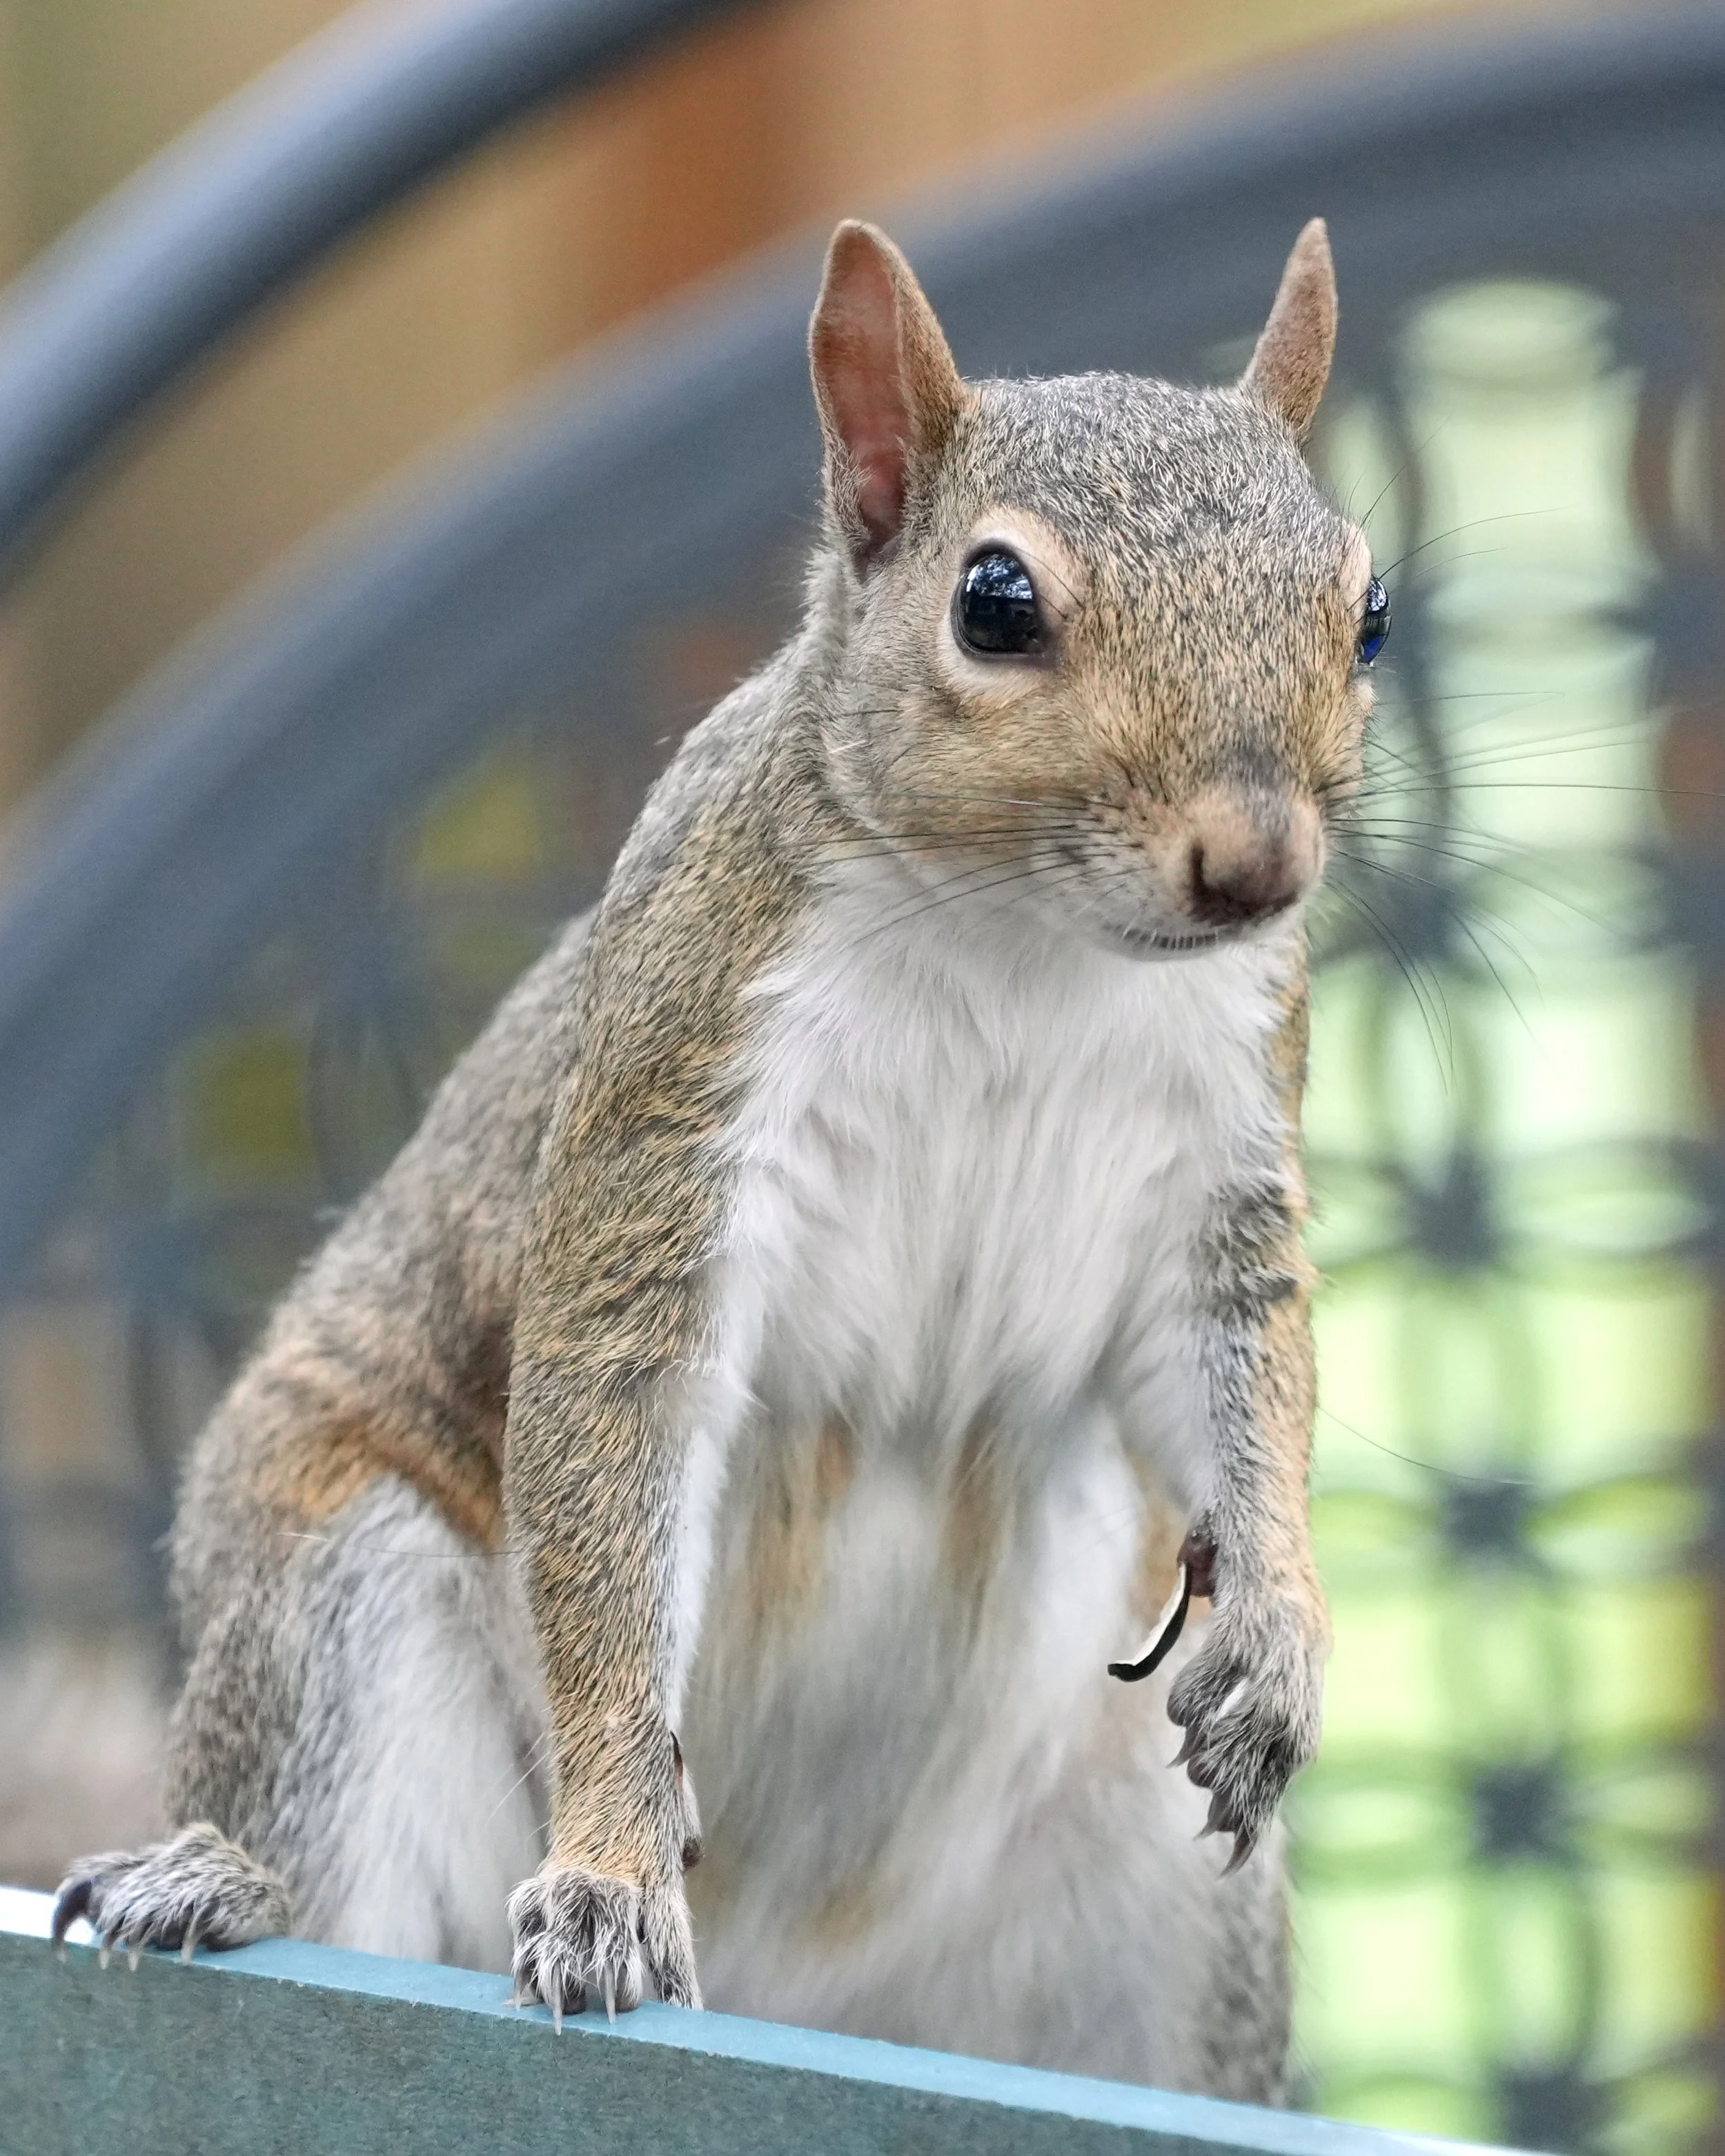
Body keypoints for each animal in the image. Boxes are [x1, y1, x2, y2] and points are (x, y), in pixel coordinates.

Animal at [55, 214, 1376, 2100]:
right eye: (994, 602)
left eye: (1367, 606)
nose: (1259, 862)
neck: (1026, 945)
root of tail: (785, 1997)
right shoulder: (668, 1116)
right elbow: (613, 1467)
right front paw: (611, 1865)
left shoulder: (1220, 1172)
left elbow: (1240, 1386)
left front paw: (1275, 1633)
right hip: (342, 1614)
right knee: (344, 1870)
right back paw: (215, 1880)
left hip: (1147, 1899)